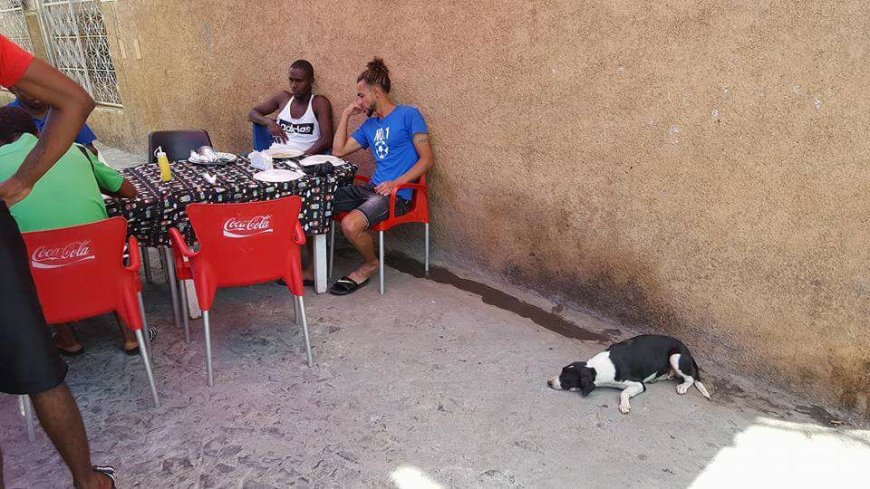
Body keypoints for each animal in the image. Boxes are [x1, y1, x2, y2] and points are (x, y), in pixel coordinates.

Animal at [548, 332, 712, 412]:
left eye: (567, 379)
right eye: (561, 372)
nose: (549, 382)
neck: (596, 368)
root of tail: (687, 350)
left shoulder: (638, 384)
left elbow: (624, 392)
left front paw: (624, 405)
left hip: (676, 357)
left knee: (690, 378)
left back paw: (682, 386)